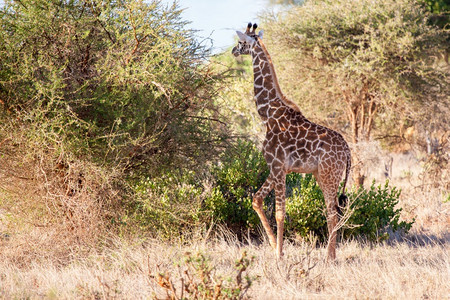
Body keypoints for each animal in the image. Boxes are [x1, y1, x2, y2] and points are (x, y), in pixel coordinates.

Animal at [232, 23, 352, 258]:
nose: (233, 51)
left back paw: (329, 257)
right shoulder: (277, 167)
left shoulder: (278, 166)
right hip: (320, 174)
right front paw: (272, 247)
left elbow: (280, 213)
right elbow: (257, 200)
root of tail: (348, 151)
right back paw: (331, 255)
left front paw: (279, 255)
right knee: (334, 212)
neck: (268, 115)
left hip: (329, 175)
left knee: (332, 213)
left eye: (241, 42)